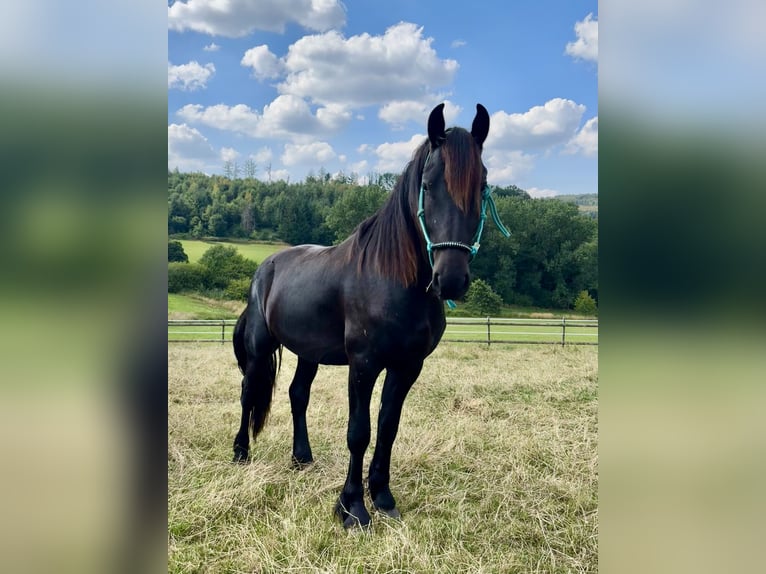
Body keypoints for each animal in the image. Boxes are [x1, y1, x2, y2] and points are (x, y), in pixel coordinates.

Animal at [232, 103, 509, 528]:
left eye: (481, 187)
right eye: (428, 185)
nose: (450, 279)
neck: (391, 278)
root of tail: (267, 265)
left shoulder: (407, 366)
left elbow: (388, 427)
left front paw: (382, 496)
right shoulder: (363, 365)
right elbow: (359, 432)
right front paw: (352, 508)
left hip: (308, 353)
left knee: (298, 394)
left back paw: (302, 457)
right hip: (261, 347)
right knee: (249, 391)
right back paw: (241, 452)